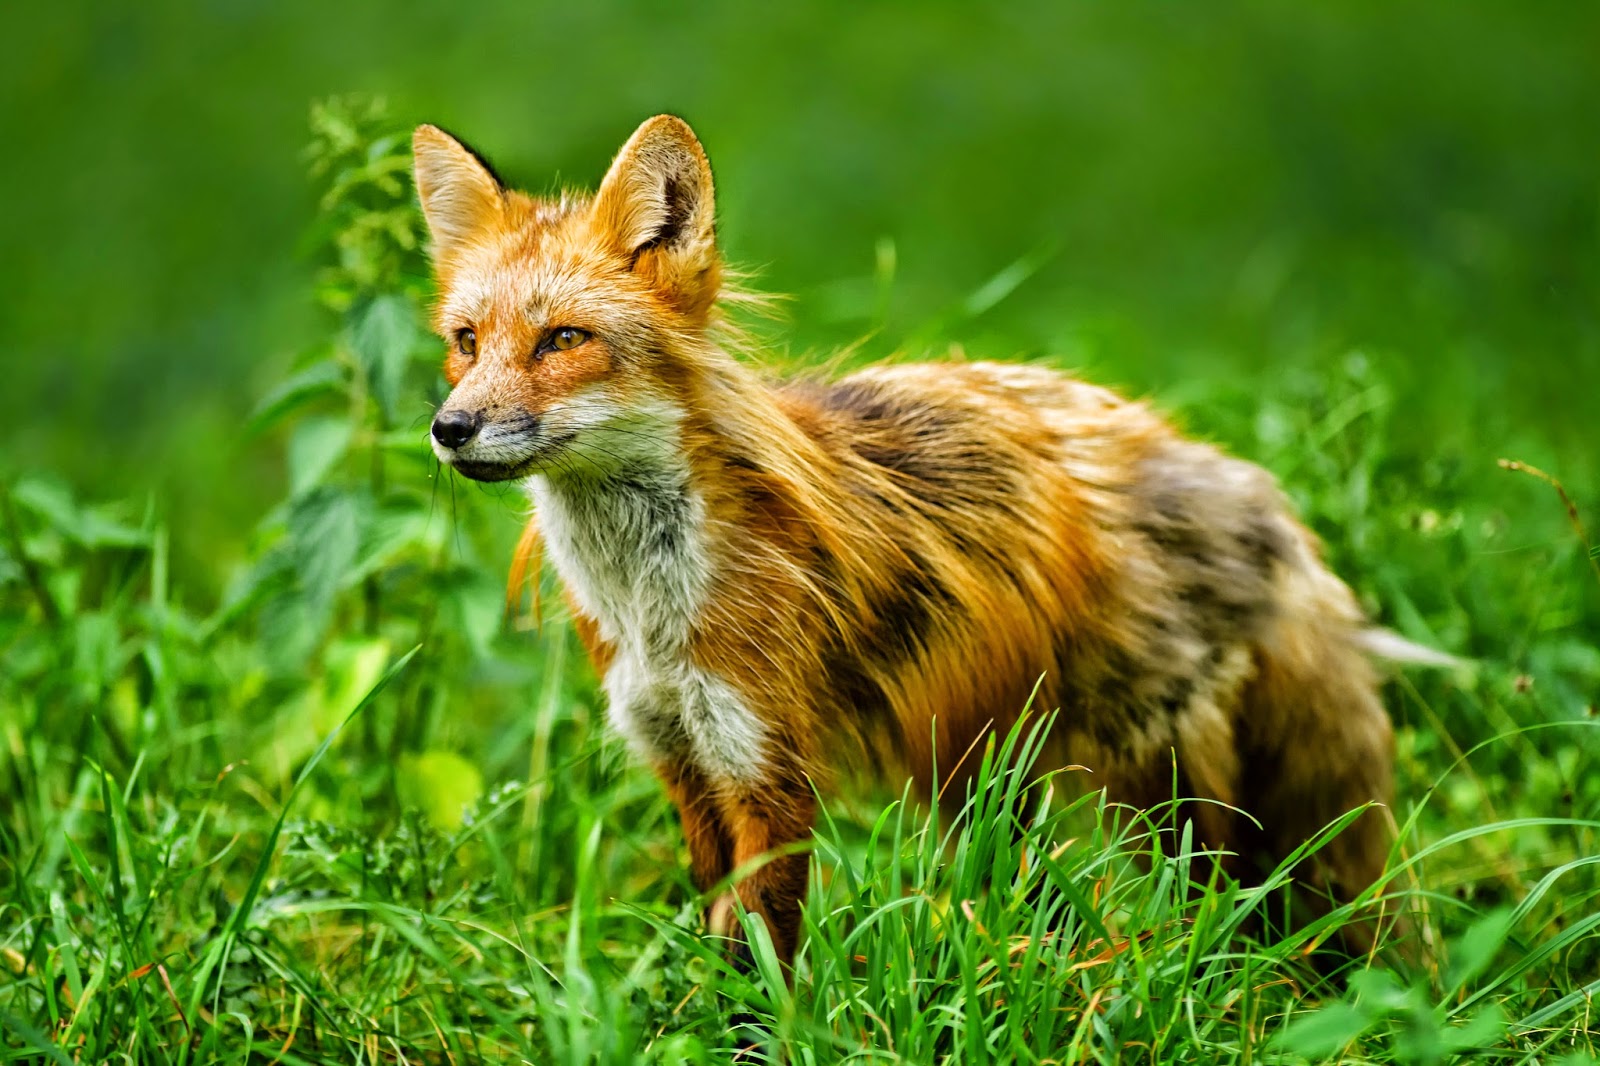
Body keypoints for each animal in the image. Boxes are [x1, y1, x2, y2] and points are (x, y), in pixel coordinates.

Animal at [413, 114, 1441, 971]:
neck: (650, 607)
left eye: (562, 340)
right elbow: (718, 935)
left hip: (1146, 793)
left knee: (1213, 921)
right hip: (994, 780)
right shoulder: (681, 758)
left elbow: (764, 952)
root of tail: (1260, 494)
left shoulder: (768, 766)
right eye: (466, 340)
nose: (450, 429)